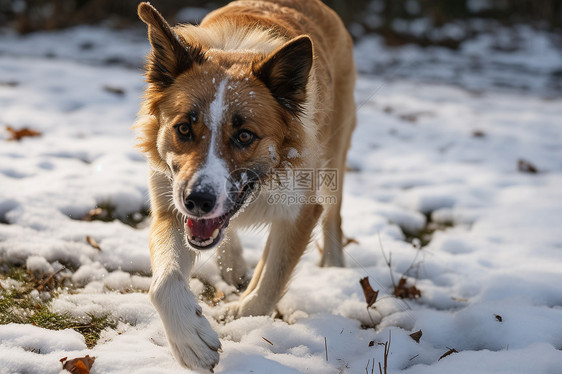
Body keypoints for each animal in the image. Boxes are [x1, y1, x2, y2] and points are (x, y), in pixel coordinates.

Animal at [135, 0, 354, 368]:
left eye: (244, 136)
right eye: (183, 129)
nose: (198, 201)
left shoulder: (301, 211)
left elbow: (271, 281)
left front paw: (244, 320)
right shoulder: (171, 204)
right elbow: (164, 283)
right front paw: (191, 342)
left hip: (335, 155)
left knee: (333, 216)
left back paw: (334, 266)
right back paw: (233, 263)